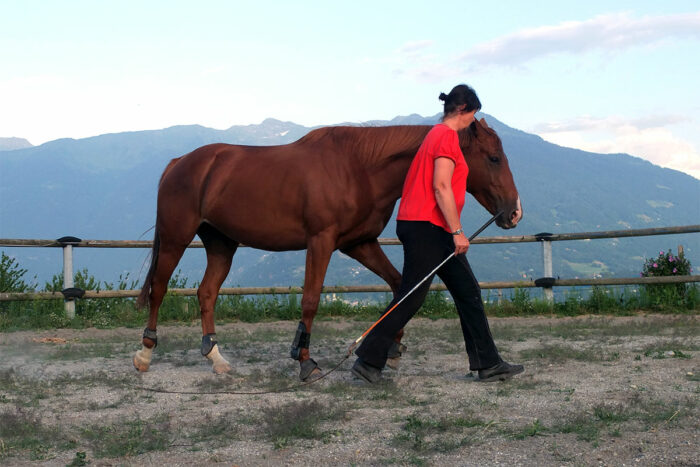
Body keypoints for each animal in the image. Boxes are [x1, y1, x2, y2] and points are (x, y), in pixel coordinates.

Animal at [134, 117, 524, 380]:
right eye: (493, 157)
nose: (515, 212)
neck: (359, 168)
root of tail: (179, 163)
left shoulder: (359, 244)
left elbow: (399, 285)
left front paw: (391, 348)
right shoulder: (321, 242)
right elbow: (311, 299)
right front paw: (304, 359)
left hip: (221, 244)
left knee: (206, 293)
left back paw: (216, 359)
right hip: (176, 238)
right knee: (159, 289)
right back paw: (145, 353)